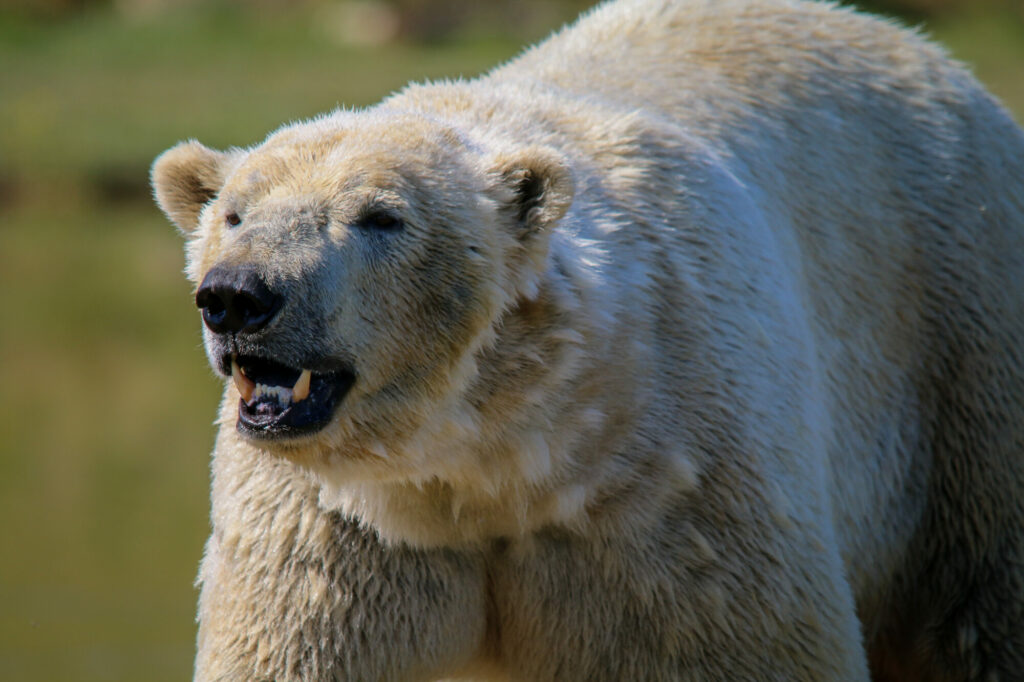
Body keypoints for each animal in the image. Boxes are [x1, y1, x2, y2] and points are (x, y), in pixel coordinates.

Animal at [151, 0, 1024, 679]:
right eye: (235, 213)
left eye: (380, 216)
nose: (236, 296)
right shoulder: (334, 542)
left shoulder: (673, 514)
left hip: (963, 354)